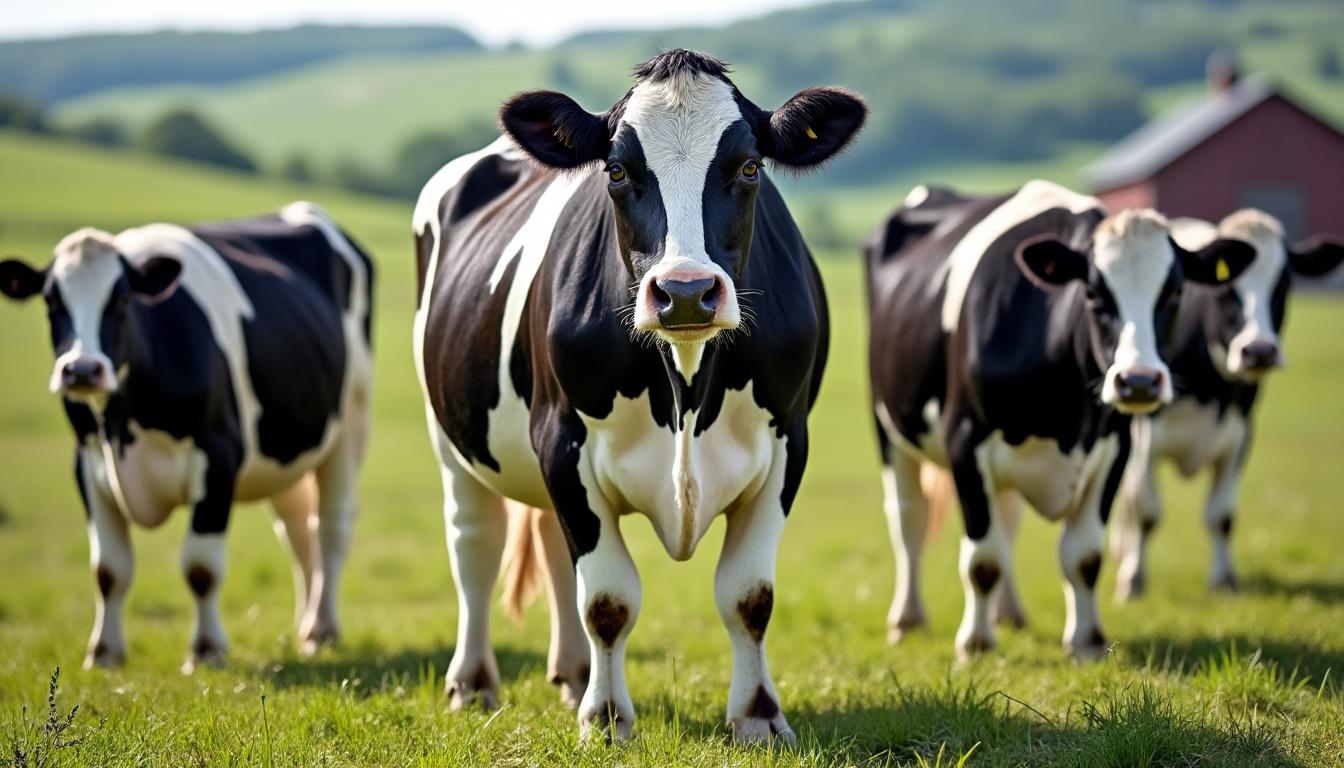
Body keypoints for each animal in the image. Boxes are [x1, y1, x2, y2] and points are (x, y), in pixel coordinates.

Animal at [0, 202, 373, 672]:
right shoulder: (86, 462)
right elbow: (108, 570)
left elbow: (200, 567)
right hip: (286, 452)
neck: (124, 425)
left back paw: (324, 628)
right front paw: (103, 653)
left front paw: (207, 649)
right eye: (51, 301)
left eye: (122, 299)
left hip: (349, 428)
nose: (83, 369)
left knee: (330, 530)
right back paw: (306, 627)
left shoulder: (219, 457)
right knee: (298, 535)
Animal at [412, 49, 865, 744]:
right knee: (475, 550)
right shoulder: (564, 441)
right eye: (618, 170)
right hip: (452, 438)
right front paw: (605, 719)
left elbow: (749, 595)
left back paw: (572, 676)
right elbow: (607, 599)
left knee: (551, 549)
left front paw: (759, 716)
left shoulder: (790, 439)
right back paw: (473, 683)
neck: (686, 385)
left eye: (750, 167)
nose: (685, 292)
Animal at [864, 180, 1254, 659]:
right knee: (909, 522)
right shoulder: (965, 442)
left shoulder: (1117, 448)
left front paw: (1087, 641)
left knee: (1007, 520)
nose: (1139, 382)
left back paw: (1009, 613)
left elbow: (1083, 556)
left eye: (1176, 293)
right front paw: (976, 644)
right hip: (889, 428)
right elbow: (982, 559)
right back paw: (907, 618)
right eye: (1093, 294)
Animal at [1112, 209, 1344, 599]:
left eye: (1284, 284)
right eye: (1223, 288)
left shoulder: (1240, 435)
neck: (1211, 389)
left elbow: (1221, 515)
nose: (1259, 351)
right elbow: (1145, 511)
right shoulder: (1144, 436)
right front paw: (1132, 580)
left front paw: (1224, 581)